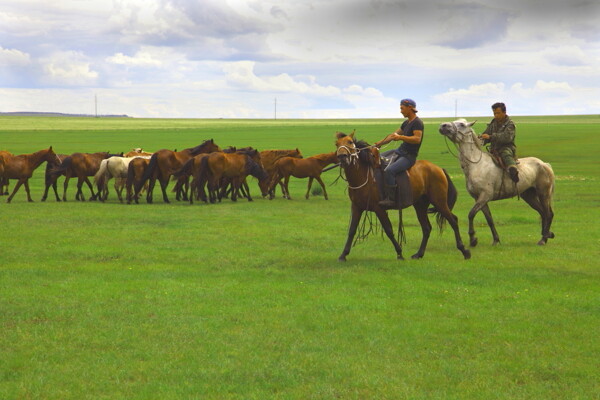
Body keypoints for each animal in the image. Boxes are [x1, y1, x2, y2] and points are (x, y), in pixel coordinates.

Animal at [336, 131, 472, 262]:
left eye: (350, 142)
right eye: (337, 144)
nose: (342, 157)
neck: (364, 175)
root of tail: (438, 169)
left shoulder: (379, 209)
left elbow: (389, 230)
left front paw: (399, 253)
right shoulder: (356, 207)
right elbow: (352, 230)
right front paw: (343, 255)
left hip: (439, 202)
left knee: (453, 221)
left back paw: (464, 251)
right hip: (420, 205)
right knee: (427, 228)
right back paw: (419, 254)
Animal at [438, 118, 556, 247]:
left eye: (462, 124)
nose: (443, 125)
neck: (476, 165)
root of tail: (545, 164)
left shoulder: (485, 196)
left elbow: (471, 214)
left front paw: (473, 239)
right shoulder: (479, 198)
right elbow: (489, 219)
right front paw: (496, 240)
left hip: (544, 194)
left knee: (548, 214)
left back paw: (544, 238)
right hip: (529, 196)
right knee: (542, 213)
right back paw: (546, 235)